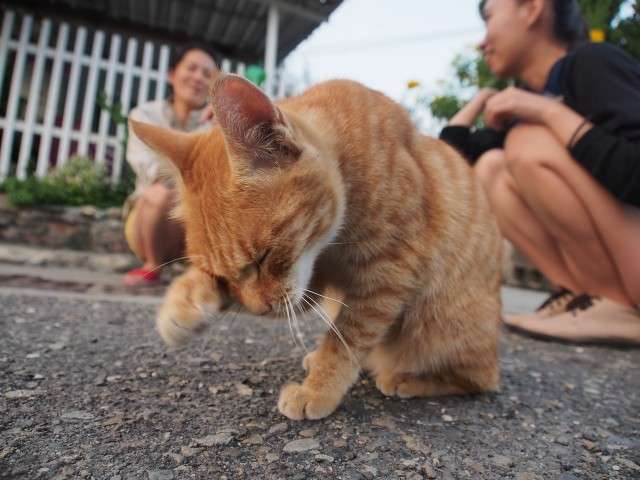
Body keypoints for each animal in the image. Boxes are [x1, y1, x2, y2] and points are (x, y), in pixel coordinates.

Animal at [129, 74, 500, 420]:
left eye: (263, 257)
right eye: (223, 276)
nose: (259, 310)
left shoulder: (389, 274)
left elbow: (345, 340)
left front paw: (317, 390)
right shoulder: (311, 286)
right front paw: (181, 305)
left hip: (440, 323)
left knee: (480, 379)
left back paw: (405, 378)